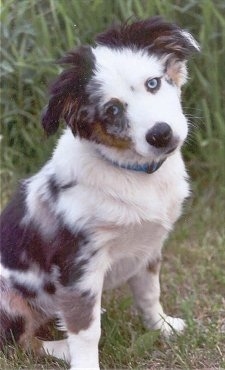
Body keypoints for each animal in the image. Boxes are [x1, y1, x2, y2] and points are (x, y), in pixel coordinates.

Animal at [0, 16, 199, 370]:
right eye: (112, 111)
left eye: (153, 83)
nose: (160, 135)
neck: (135, 174)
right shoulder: (79, 265)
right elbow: (86, 329)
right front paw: (84, 360)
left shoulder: (148, 247)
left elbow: (149, 294)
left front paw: (163, 328)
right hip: (7, 297)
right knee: (19, 341)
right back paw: (61, 348)